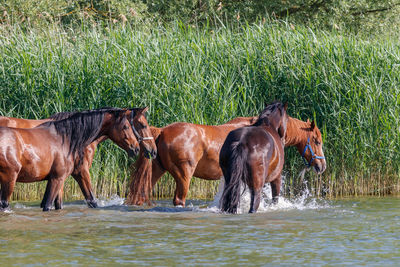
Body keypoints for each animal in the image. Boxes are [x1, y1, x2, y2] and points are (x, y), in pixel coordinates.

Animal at [0, 108, 156, 213]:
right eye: (142, 125)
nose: (137, 148)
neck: (66, 138)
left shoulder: (60, 178)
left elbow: (57, 204)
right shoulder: (74, 173)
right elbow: (91, 200)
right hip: (9, 179)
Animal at [126, 110, 326, 207]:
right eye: (317, 140)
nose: (321, 165)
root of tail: (162, 131)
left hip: (157, 171)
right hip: (183, 176)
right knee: (179, 200)